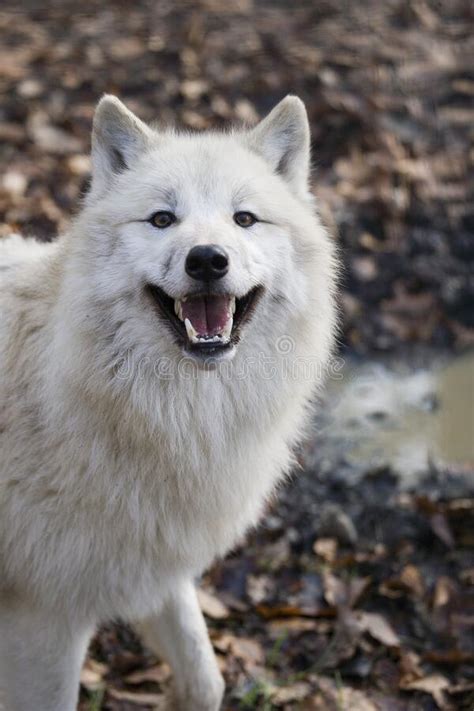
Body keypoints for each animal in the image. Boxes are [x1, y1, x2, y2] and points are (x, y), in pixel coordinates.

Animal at [0, 96, 336, 711]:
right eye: (162, 220)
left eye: (244, 219)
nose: (207, 259)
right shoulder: (43, 620)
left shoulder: (154, 565)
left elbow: (206, 680)